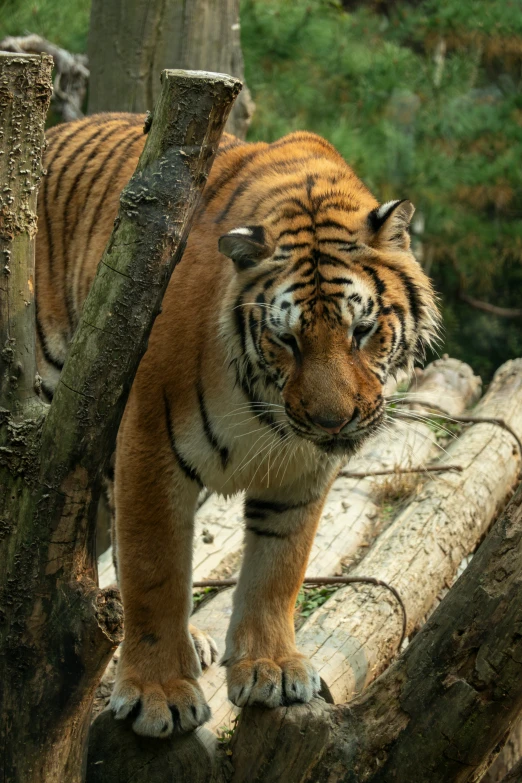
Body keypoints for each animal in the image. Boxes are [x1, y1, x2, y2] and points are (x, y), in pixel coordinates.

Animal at [34, 113, 436, 740]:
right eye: (287, 339)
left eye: (362, 330)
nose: (332, 422)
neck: (266, 408)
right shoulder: (149, 444)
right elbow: (155, 570)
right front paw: (158, 694)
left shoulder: (301, 473)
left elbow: (279, 569)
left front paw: (272, 668)